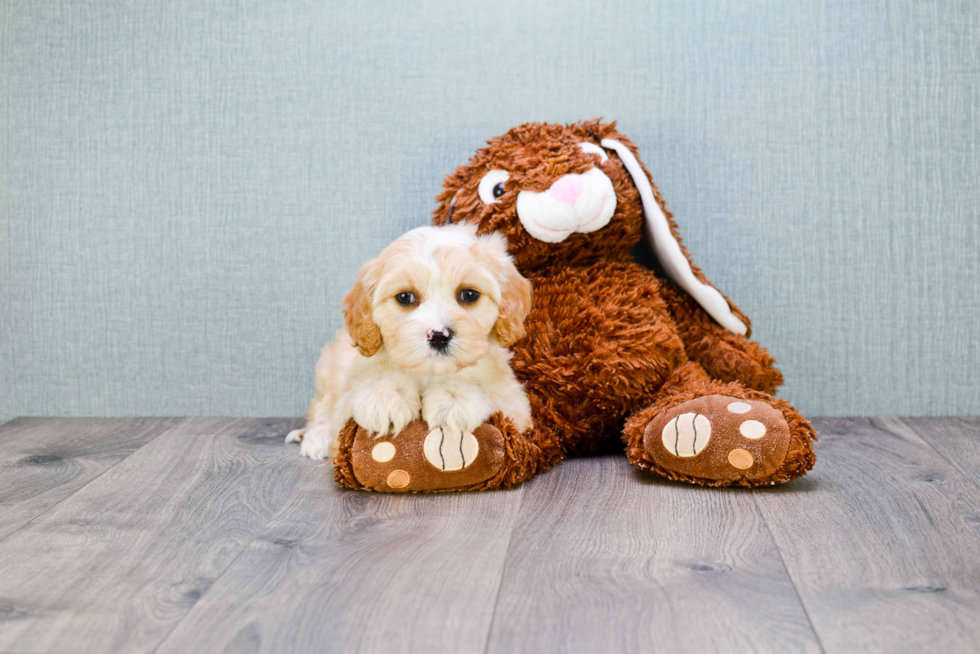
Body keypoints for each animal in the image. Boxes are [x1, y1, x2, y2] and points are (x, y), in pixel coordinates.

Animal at [290, 226, 536, 462]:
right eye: (405, 297)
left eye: (468, 294)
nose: (439, 335)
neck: (428, 373)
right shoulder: (349, 388)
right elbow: (355, 398)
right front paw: (385, 398)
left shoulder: (516, 407)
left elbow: (487, 392)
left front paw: (453, 400)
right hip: (330, 368)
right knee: (322, 405)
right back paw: (315, 437)